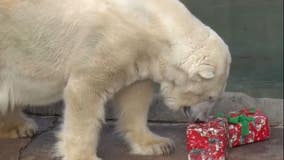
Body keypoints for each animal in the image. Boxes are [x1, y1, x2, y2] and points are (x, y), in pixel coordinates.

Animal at [0, 0, 231, 160]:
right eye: (211, 97)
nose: (202, 120)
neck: (151, 22)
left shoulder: (139, 54)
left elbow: (135, 98)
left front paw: (158, 144)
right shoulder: (106, 42)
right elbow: (85, 92)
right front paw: (85, 156)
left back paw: (20, 126)